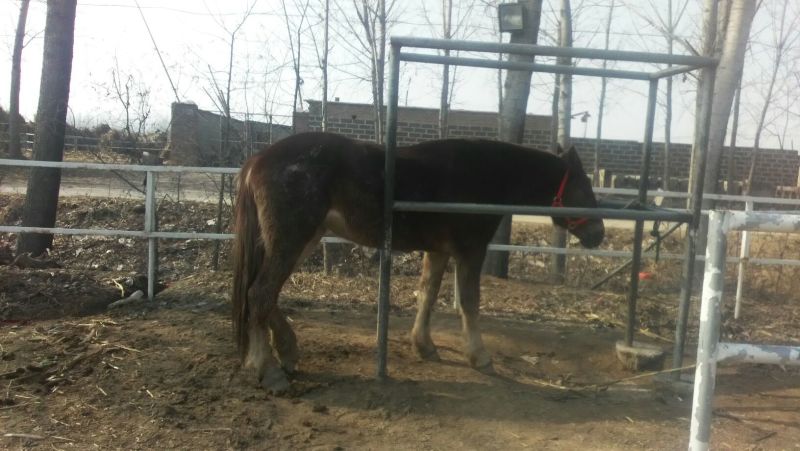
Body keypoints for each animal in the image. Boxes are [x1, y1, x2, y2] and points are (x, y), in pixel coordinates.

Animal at [232, 131, 605, 393]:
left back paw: (286, 351)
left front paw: (424, 346)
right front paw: (479, 356)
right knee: (260, 294)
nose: (599, 233)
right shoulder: (470, 251)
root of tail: (257, 159)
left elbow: (428, 295)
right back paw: (269, 370)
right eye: (584, 187)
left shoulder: (438, 251)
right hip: (292, 238)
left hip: (302, 239)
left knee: (265, 294)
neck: (483, 174)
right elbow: (469, 303)